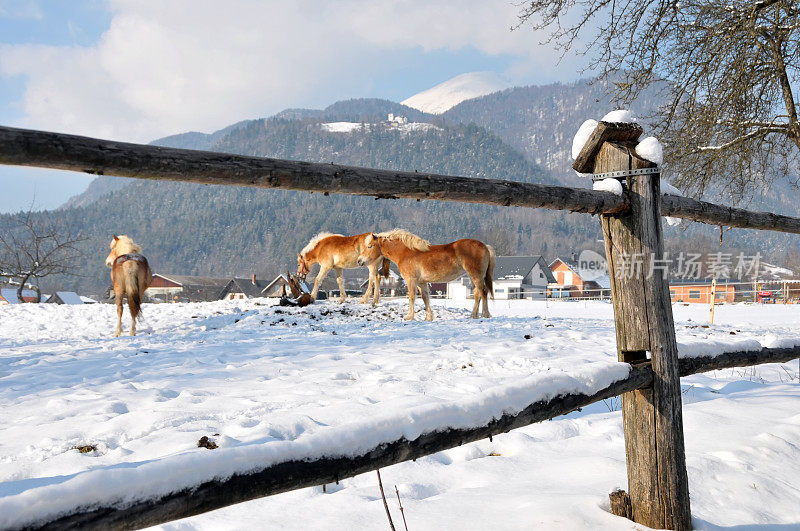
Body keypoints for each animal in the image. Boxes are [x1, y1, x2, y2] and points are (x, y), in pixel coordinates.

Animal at [358, 228, 494, 320]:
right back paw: (473, 316)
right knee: (477, 293)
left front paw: (409, 316)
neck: (406, 252)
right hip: (474, 276)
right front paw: (428, 317)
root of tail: (485, 246)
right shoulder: (421, 283)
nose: (359, 260)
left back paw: (485, 314)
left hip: (476, 275)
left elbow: (412, 297)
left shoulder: (411, 280)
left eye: (369, 246)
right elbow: (425, 298)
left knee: (483, 292)